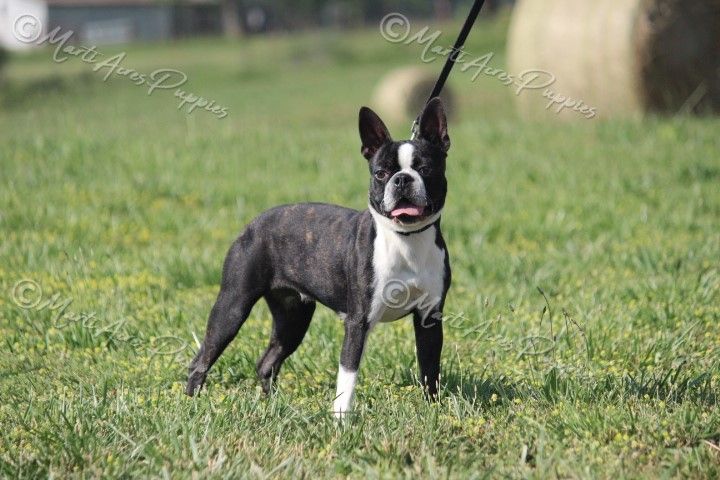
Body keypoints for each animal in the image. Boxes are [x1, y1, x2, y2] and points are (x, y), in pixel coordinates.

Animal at [186, 97, 451, 418]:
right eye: (380, 174)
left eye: (425, 168)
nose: (401, 179)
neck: (406, 238)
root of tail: (254, 222)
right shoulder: (358, 322)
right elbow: (348, 376)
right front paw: (340, 419)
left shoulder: (429, 318)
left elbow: (430, 369)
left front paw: (433, 410)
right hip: (233, 305)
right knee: (202, 359)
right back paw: (192, 403)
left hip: (293, 317)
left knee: (267, 362)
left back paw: (273, 404)